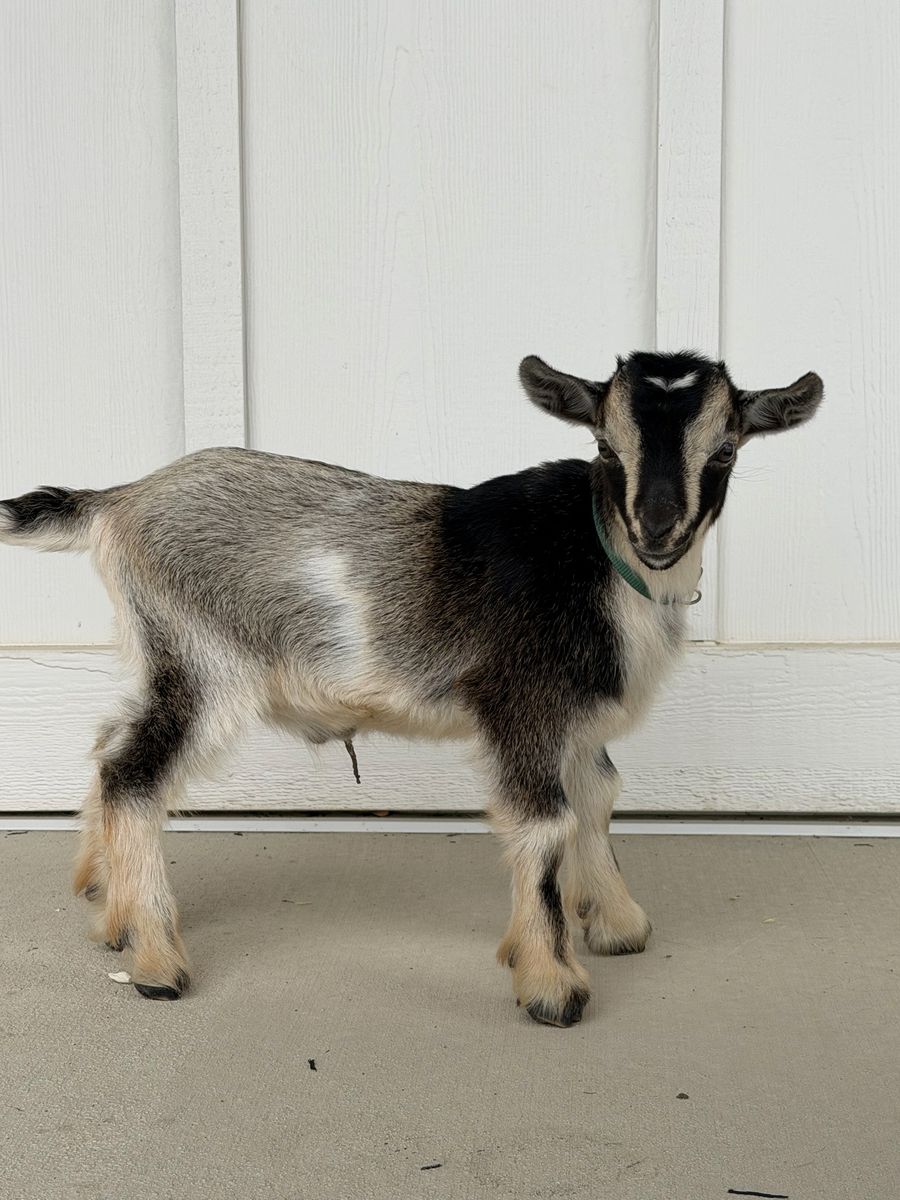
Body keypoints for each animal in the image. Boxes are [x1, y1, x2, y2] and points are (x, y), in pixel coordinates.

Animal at [0, 350, 822, 1026]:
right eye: (604, 445)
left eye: (724, 449)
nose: (656, 530)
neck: (600, 556)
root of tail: (121, 498)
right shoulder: (522, 701)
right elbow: (545, 822)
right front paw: (551, 983)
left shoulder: (576, 720)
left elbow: (597, 797)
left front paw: (616, 924)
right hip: (204, 661)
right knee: (134, 775)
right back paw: (157, 963)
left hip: (157, 655)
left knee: (109, 744)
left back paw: (109, 913)